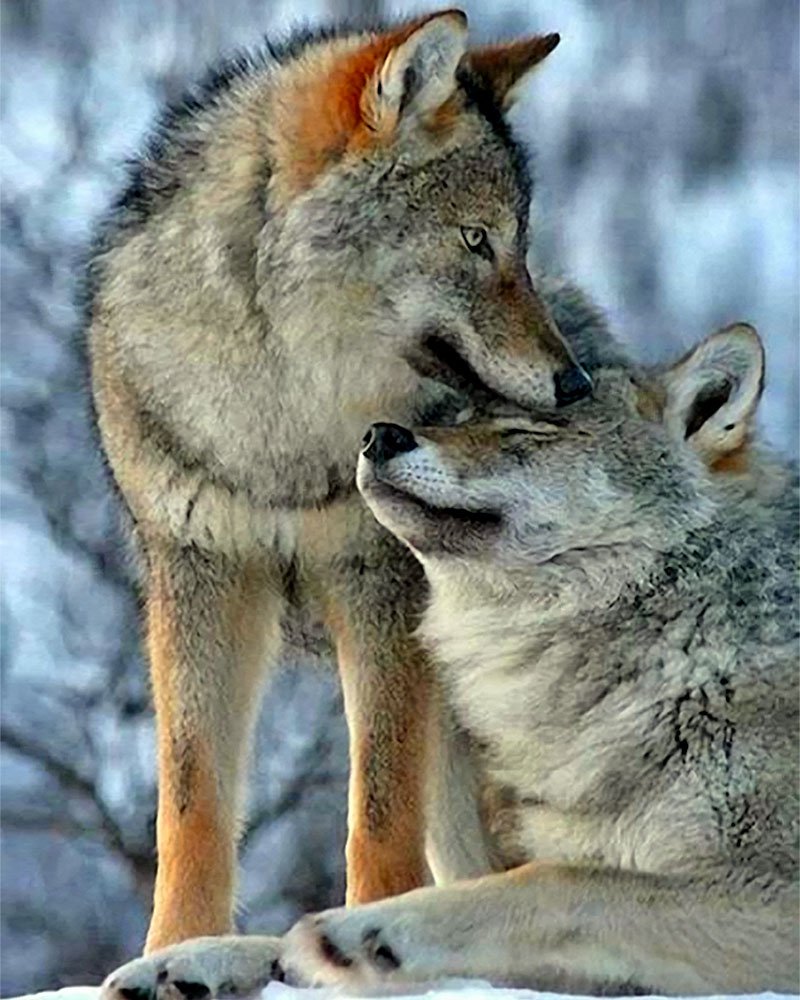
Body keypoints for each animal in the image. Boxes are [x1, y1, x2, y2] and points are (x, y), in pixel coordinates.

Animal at [86, 7, 593, 954]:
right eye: (476, 240)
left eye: (521, 248)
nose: (574, 382)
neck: (279, 412)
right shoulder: (202, 575)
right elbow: (191, 803)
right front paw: (172, 952)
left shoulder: (380, 583)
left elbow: (378, 809)